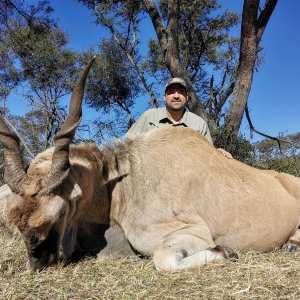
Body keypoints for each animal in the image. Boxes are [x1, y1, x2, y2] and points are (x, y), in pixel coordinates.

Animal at [0, 58, 300, 272]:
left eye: (60, 213)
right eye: (15, 221)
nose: (39, 265)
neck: (124, 182)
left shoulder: (195, 232)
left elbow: (163, 259)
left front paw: (226, 251)